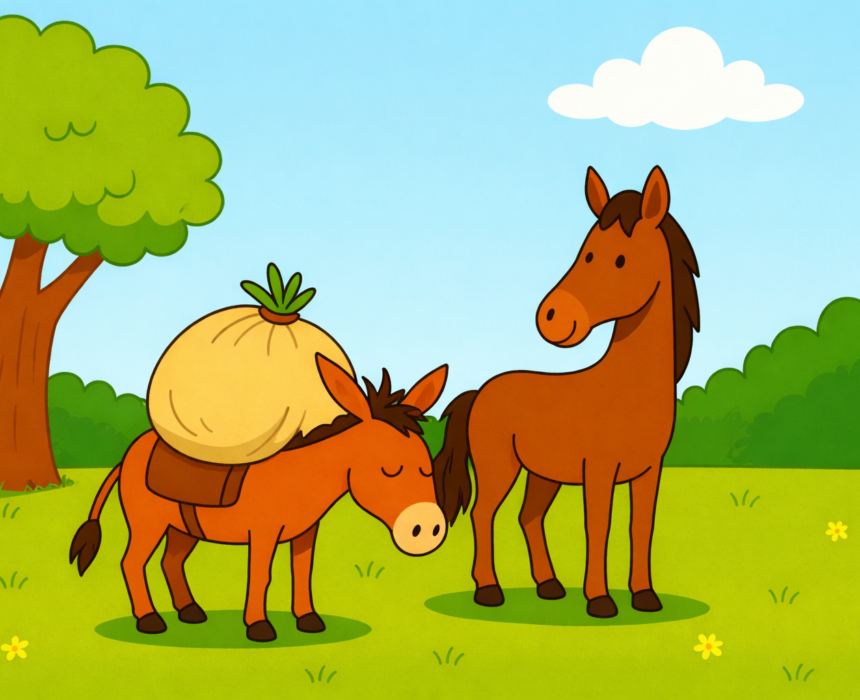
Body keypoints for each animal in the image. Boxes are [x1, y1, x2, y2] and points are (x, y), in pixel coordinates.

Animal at [70, 355, 449, 641]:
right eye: (389, 470)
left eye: (427, 468)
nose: (428, 529)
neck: (304, 473)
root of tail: (130, 453)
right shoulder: (263, 534)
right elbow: (261, 575)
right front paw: (259, 626)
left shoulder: (306, 531)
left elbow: (302, 571)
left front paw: (308, 620)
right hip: (148, 522)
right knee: (132, 563)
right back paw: (149, 620)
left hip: (183, 525)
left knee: (170, 562)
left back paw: (190, 612)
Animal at [432, 166, 700, 618]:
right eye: (585, 252)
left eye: (620, 259)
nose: (551, 317)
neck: (629, 388)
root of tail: (480, 391)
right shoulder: (599, 471)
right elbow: (599, 526)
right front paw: (601, 601)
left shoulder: (650, 471)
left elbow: (641, 526)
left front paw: (645, 597)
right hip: (499, 468)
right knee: (484, 514)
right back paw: (489, 590)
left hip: (543, 474)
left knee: (528, 517)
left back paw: (549, 586)